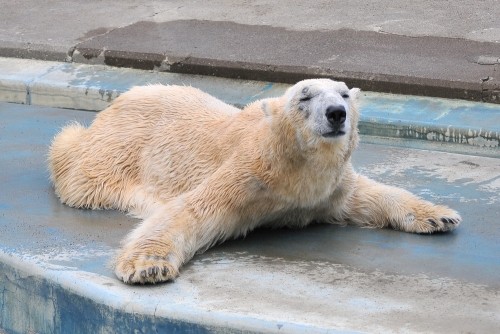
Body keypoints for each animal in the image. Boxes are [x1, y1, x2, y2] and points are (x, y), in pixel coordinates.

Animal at [49, 79, 460, 284]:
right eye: (304, 97)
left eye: (345, 94)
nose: (336, 113)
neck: (294, 166)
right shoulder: (247, 174)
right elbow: (191, 211)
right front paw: (147, 267)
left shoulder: (327, 188)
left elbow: (366, 195)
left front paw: (440, 215)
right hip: (105, 158)